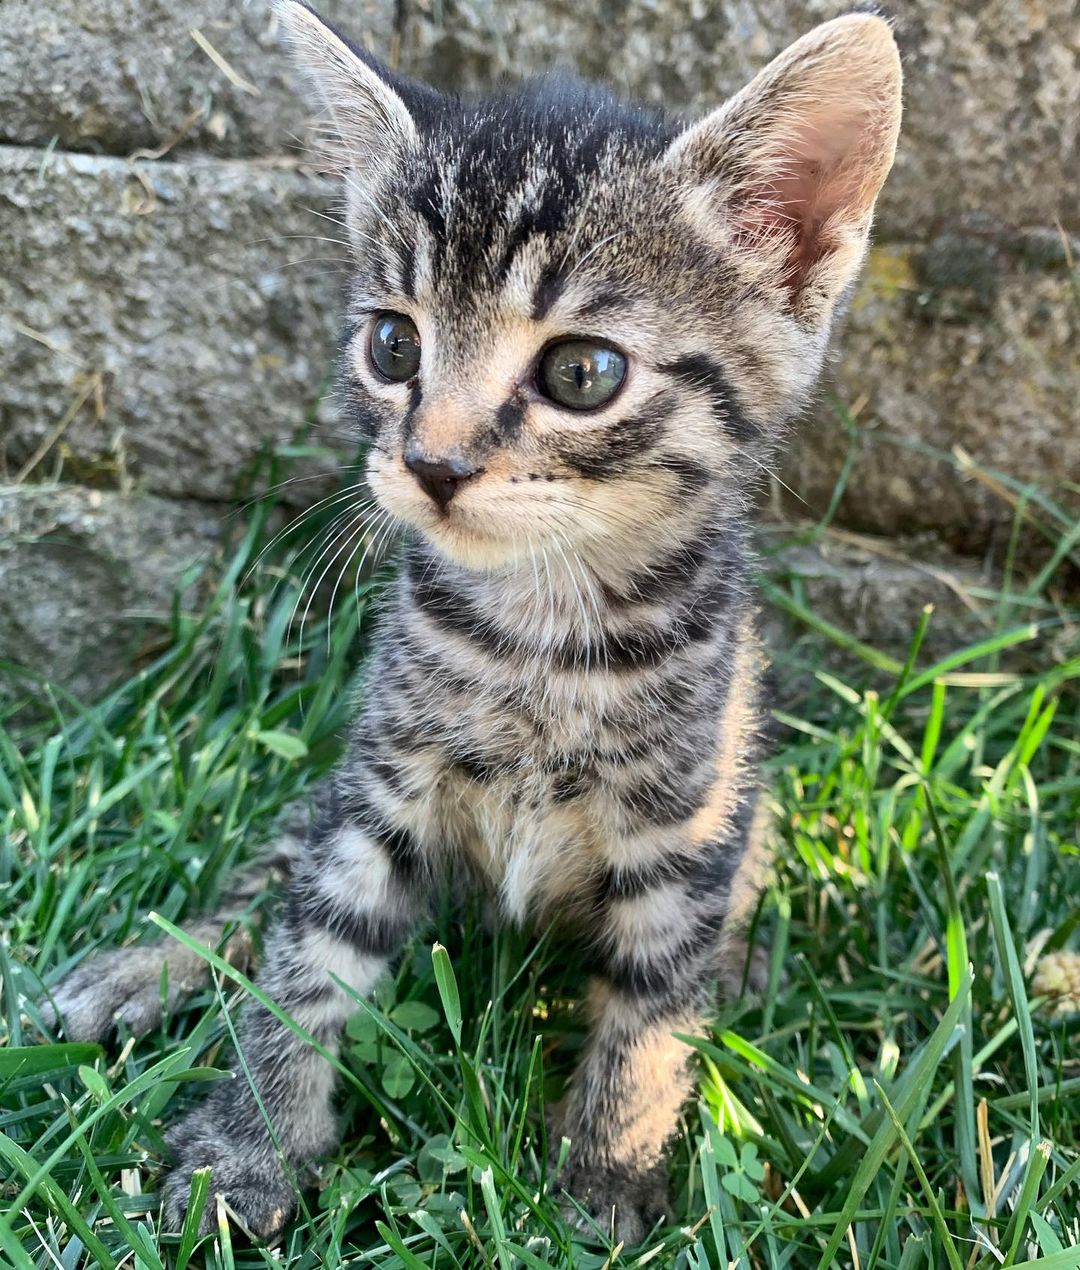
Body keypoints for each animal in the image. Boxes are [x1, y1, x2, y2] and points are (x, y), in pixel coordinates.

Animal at [41, 0, 894, 1244]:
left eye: (583, 372)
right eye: (392, 345)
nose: (432, 464)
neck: (539, 633)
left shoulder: (684, 835)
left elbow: (651, 1013)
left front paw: (608, 1173)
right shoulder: (382, 791)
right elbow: (309, 952)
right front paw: (249, 1140)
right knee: (275, 866)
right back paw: (148, 964)